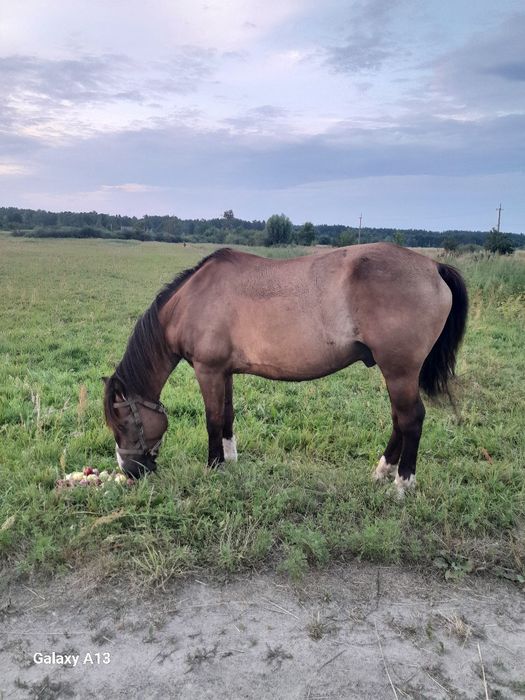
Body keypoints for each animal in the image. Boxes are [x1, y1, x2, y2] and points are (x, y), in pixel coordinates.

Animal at [103, 244, 468, 496]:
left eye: (121, 424)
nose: (130, 473)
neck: (193, 298)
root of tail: (433, 266)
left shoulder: (208, 371)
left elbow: (212, 420)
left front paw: (213, 467)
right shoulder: (223, 372)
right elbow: (227, 416)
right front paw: (230, 461)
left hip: (399, 371)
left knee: (411, 420)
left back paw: (402, 484)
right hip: (394, 374)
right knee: (398, 420)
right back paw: (381, 472)